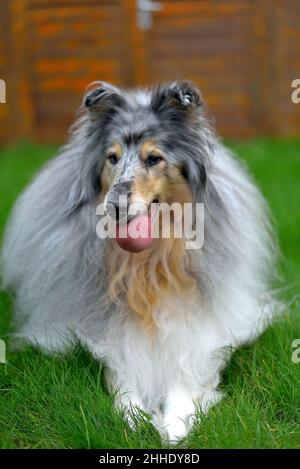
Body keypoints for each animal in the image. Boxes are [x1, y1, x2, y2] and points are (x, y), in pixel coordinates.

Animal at [0, 78, 276, 440]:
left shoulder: (196, 331)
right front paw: (134, 419)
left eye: (154, 158)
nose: (115, 207)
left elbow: (183, 376)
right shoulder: (108, 331)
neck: (148, 263)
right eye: (112, 157)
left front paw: (173, 426)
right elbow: (122, 373)